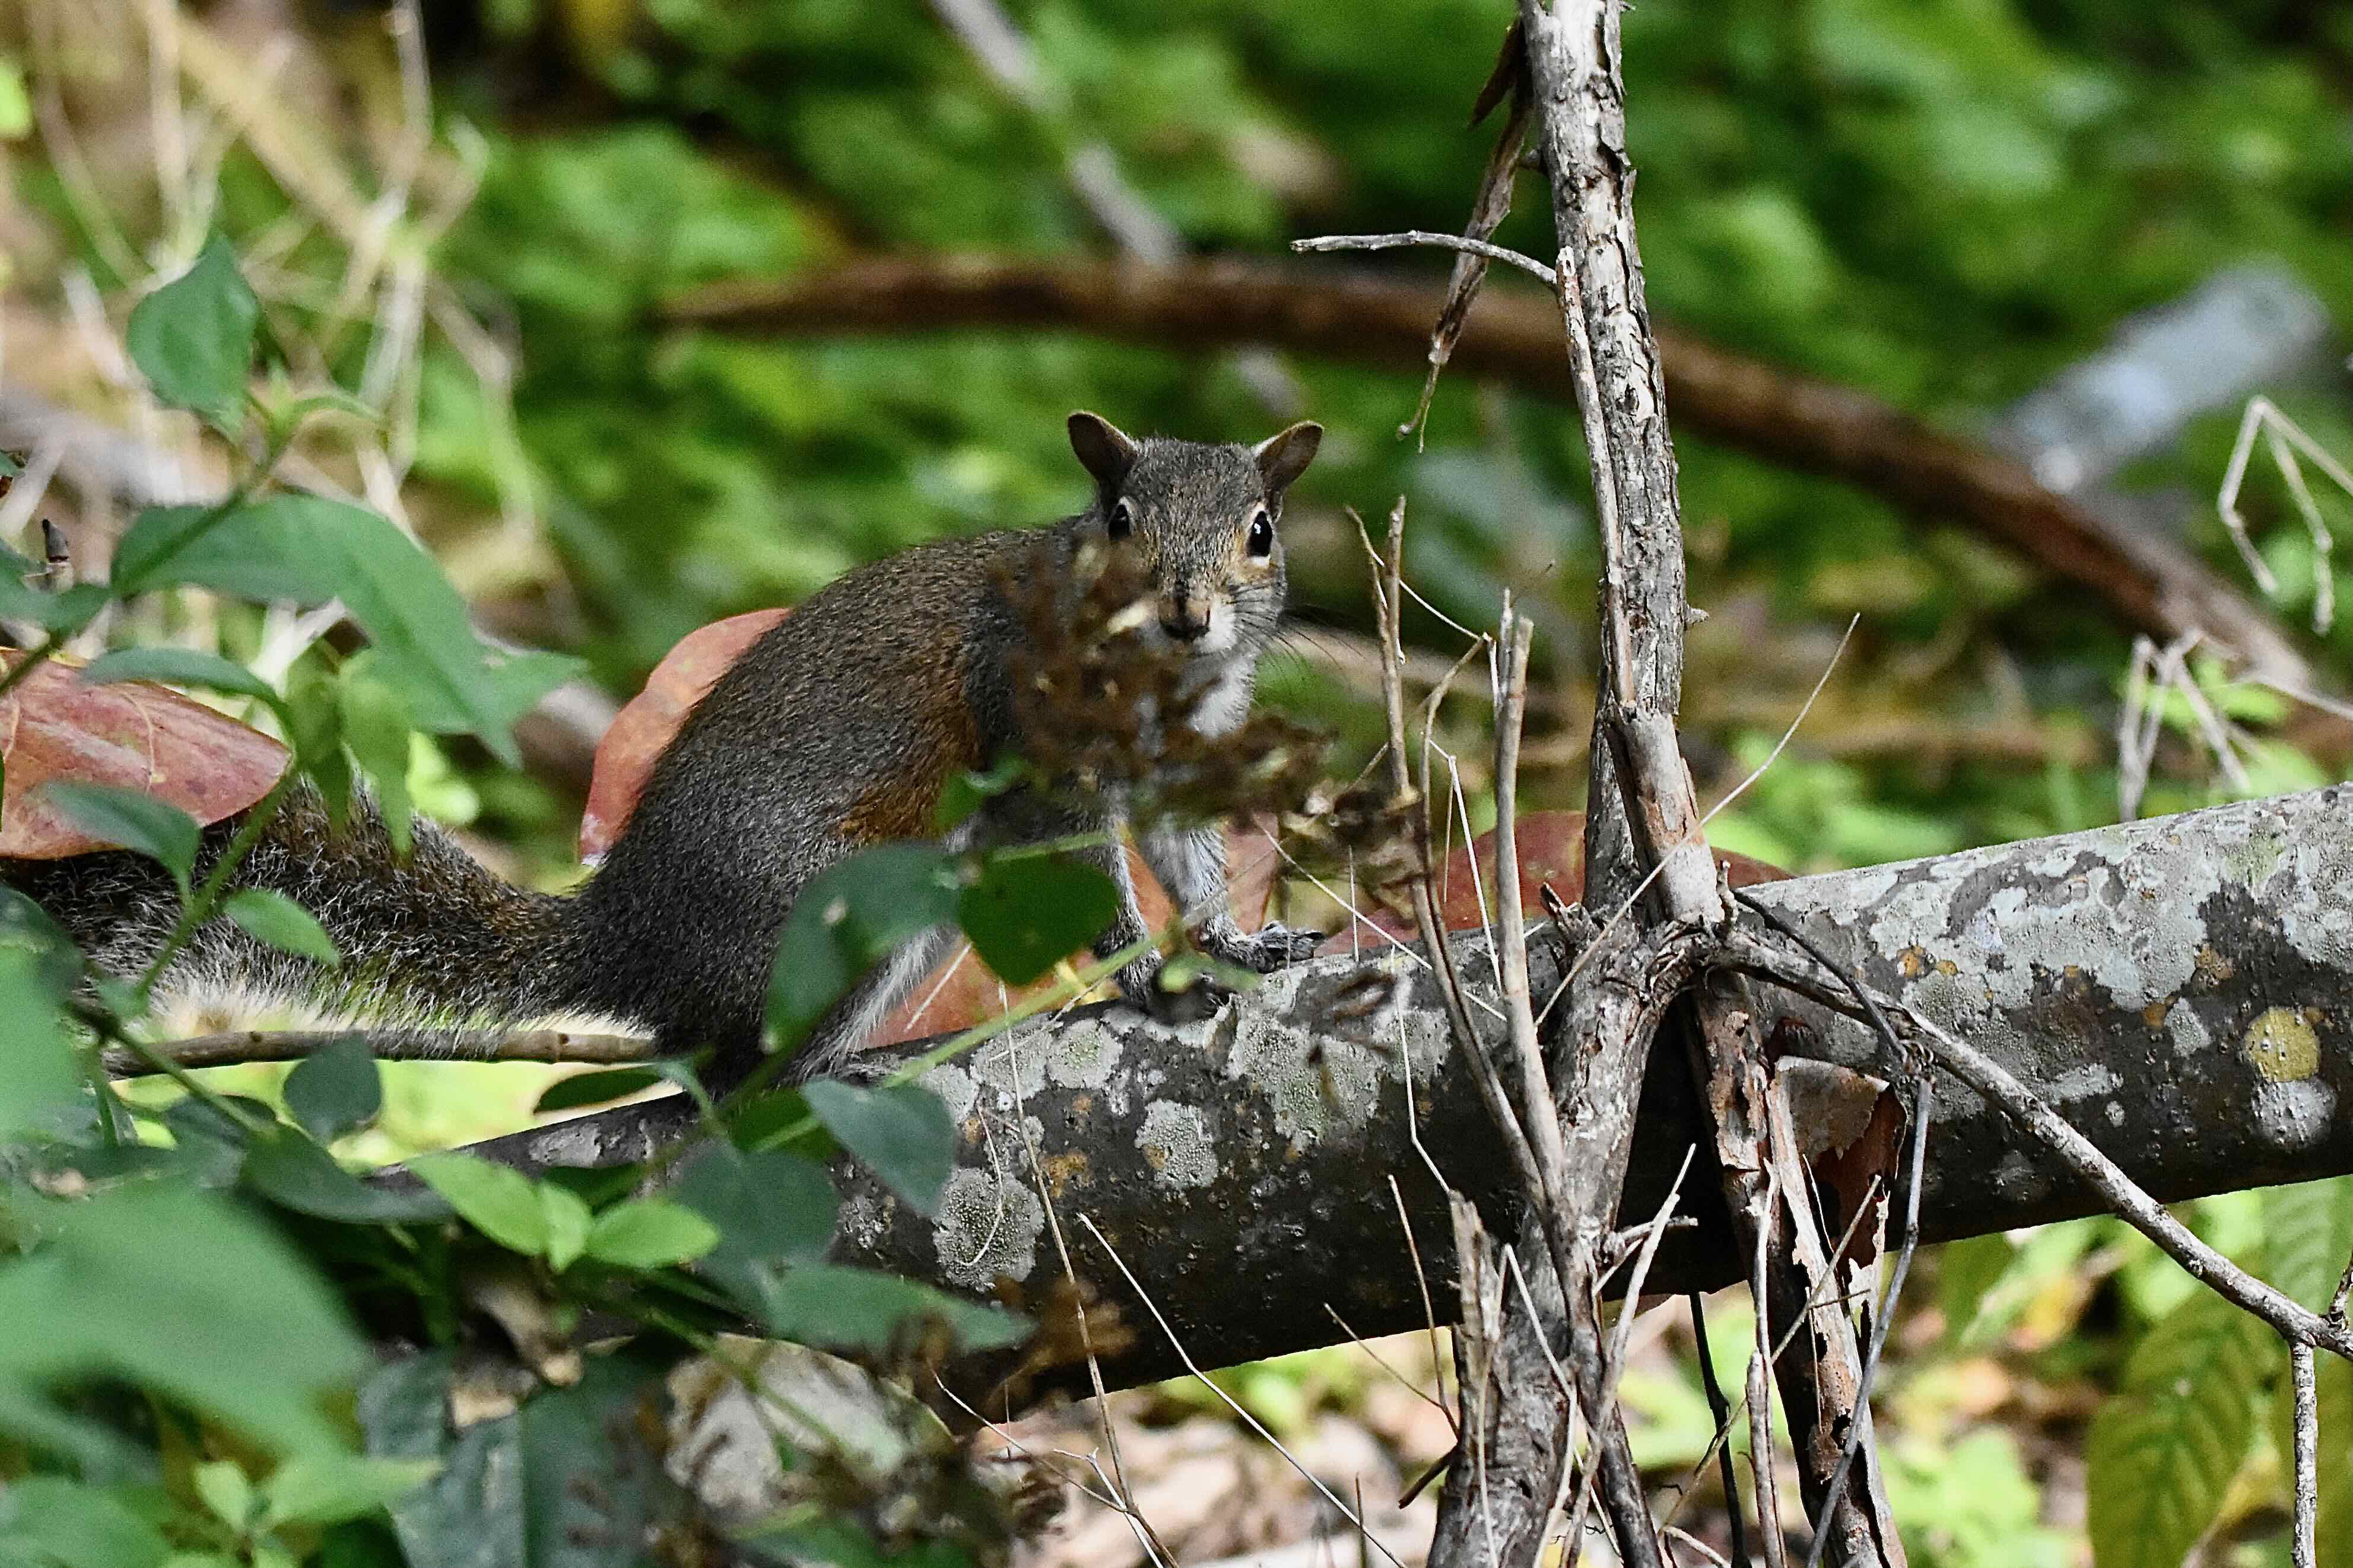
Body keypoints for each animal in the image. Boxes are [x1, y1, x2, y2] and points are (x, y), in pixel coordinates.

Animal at [5, 412, 1326, 1087]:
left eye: (1262, 531)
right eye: (1117, 519)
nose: (1187, 612)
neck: (1156, 683)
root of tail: (626, 938)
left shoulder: (1179, 760)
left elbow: (1191, 857)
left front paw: (1234, 939)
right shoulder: (1033, 736)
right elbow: (1085, 866)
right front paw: (1146, 970)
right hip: (829, 910)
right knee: (727, 1057)